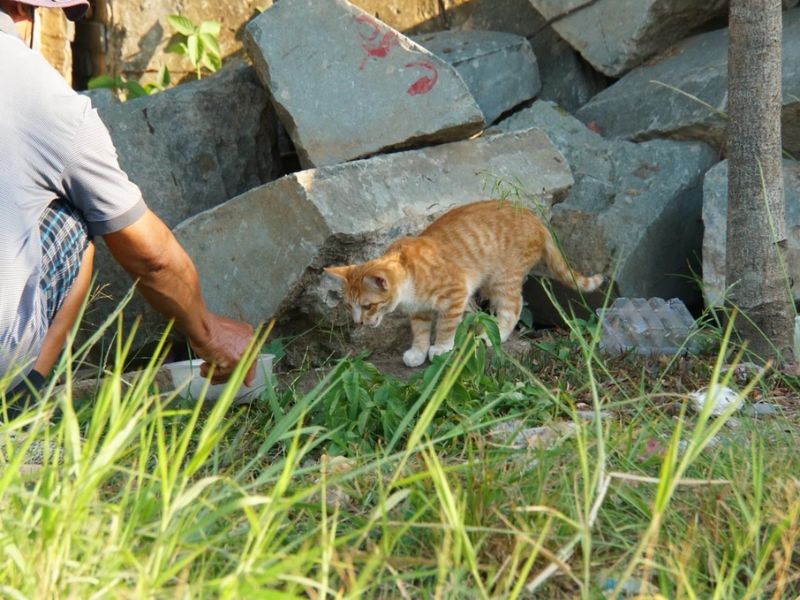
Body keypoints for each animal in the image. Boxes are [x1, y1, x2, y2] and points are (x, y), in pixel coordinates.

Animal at [324, 200, 600, 366]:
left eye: (368, 306)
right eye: (349, 306)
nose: (358, 323)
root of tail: (536, 219)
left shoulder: (456, 294)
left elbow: (446, 326)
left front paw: (441, 348)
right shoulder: (420, 311)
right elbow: (421, 331)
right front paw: (418, 352)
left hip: (502, 279)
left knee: (514, 307)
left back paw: (496, 334)